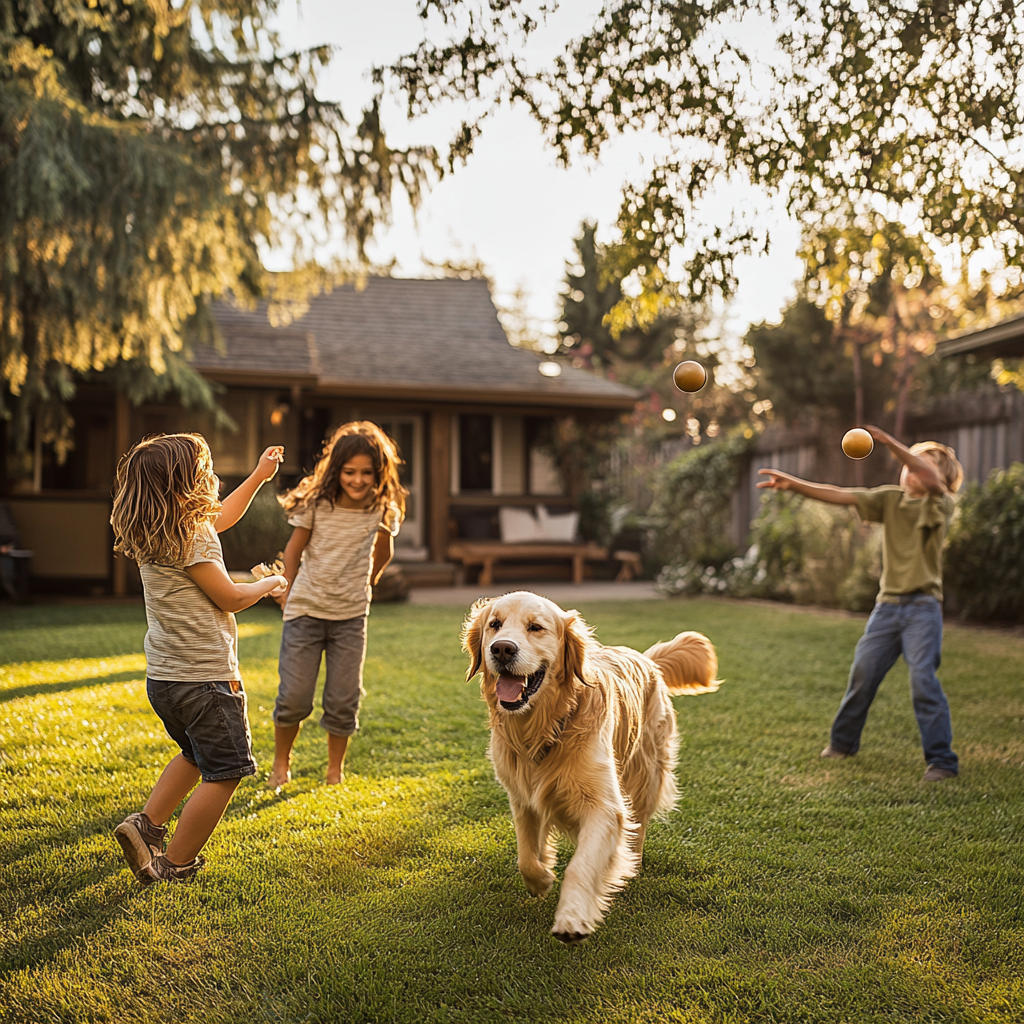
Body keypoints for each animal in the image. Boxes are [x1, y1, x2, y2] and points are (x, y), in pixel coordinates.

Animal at [464, 593, 720, 942]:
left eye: (535, 628)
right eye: (495, 624)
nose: (502, 649)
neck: (545, 726)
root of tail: (645, 658)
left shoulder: (604, 806)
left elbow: (582, 864)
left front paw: (572, 917)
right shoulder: (522, 797)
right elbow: (526, 854)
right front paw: (541, 878)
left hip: (646, 773)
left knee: (640, 824)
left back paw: (632, 863)